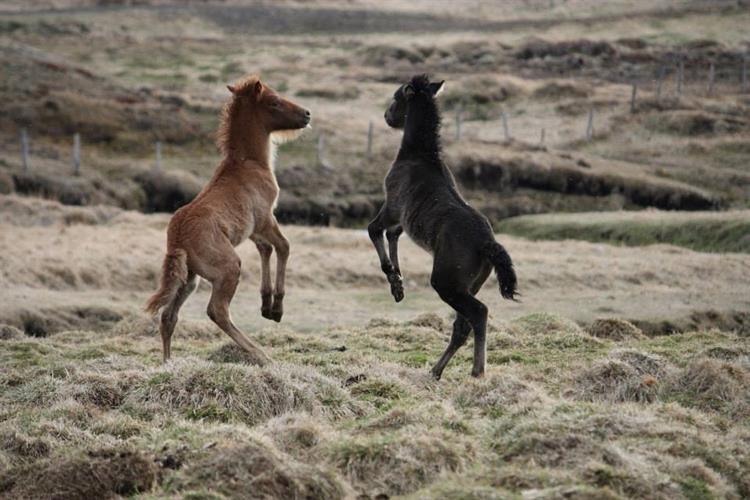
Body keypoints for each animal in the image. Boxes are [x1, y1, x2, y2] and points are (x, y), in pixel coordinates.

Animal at [145, 74, 310, 364]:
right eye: (274, 101)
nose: (306, 114)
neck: (249, 163)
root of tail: (177, 239)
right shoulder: (265, 218)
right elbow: (283, 246)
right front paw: (276, 308)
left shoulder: (253, 229)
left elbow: (265, 249)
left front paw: (266, 305)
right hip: (228, 267)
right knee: (216, 310)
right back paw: (260, 354)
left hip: (188, 278)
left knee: (168, 316)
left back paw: (167, 364)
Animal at [368, 74, 520, 378]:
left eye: (396, 97)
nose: (388, 117)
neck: (418, 155)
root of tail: (487, 243)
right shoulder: (403, 220)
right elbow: (392, 236)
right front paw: (399, 285)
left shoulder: (392, 206)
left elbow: (375, 230)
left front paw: (393, 278)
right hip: (469, 284)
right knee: (462, 326)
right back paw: (435, 371)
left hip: (447, 282)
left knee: (478, 314)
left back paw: (477, 372)